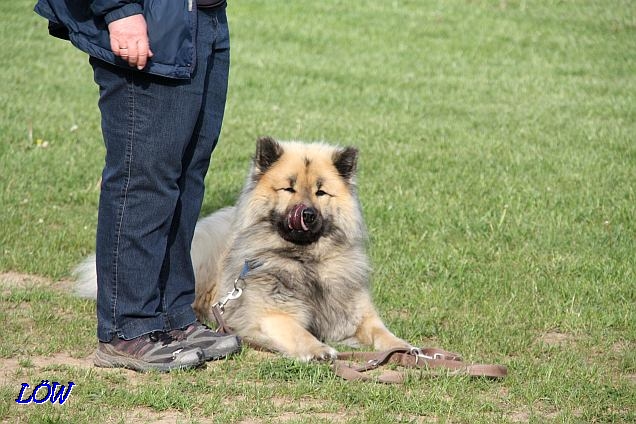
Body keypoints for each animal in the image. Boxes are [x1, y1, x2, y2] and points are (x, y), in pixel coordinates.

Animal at [76, 137, 412, 362]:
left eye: (321, 192)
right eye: (288, 188)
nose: (307, 214)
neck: (305, 260)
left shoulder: (358, 315)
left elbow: (383, 332)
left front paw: (406, 349)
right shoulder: (273, 314)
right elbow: (300, 333)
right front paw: (318, 349)